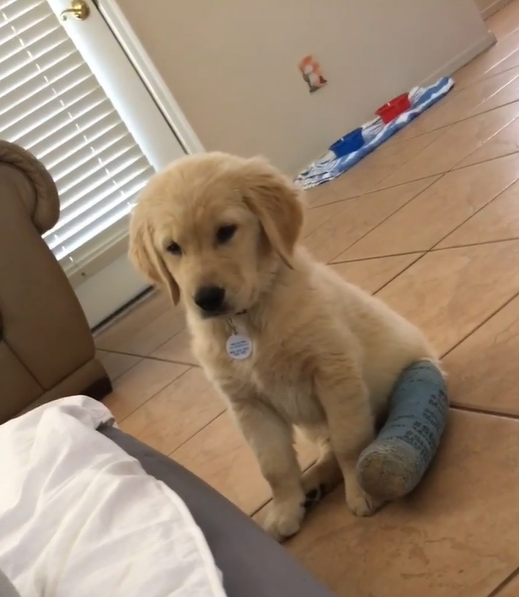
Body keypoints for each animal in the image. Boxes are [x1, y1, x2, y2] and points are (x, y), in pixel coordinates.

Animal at [129, 152, 439, 541]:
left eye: (225, 231)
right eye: (173, 248)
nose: (207, 299)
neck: (247, 320)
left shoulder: (334, 373)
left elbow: (350, 442)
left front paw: (361, 492)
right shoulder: (248, 404)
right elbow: (274, 466)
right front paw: (286, 508)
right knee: (326, 450)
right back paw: (312, 483)